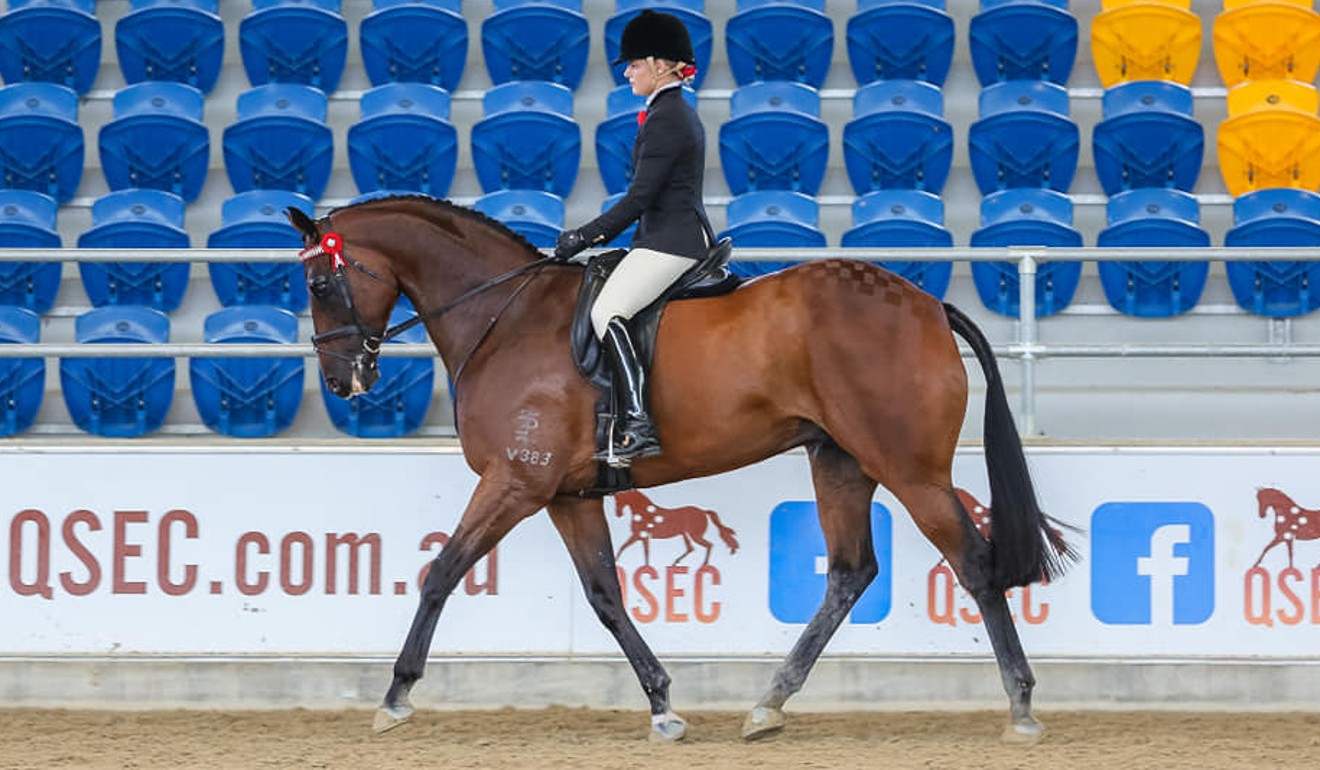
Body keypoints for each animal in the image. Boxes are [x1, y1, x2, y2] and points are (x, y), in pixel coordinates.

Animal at [609, 488, 739, 565]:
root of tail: (703, 511)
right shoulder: (641, 537)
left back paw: (703, 565)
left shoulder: (639, 535)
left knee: (708, 545)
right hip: (685, 534)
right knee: (691, 548)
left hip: (694, 535)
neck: (645, 512)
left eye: (619, 499)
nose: (618, 514)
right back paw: (675, 562)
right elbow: (635, 549)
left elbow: (636, 550)